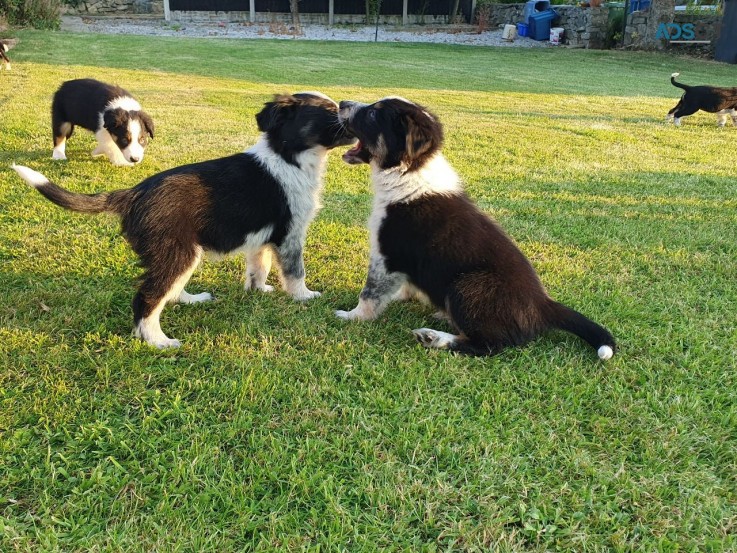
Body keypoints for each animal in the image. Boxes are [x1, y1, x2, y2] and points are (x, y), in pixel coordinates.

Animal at [11, 92, 356, 348]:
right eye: (330, 111)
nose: (351, 109)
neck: (289, 156)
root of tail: (133, 193)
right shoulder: (291, 234)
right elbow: (295, 271)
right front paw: (304, 296)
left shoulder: (263, 237)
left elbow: (259, 266)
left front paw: (259, 290)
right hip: (177, 251)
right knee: (148, 297)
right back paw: (157, 341)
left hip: (179, 252)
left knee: (170, 289)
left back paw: (191, 300)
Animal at [336, 97, 612, 360]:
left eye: (373, 113)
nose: (342, 103)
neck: (409, 171)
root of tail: (542, 305)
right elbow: (403, 285)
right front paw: (399, 297)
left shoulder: (387, 254)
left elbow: (370, 293)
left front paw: (352, 316)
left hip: (467, 286)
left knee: (489, 344)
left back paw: (435, 338)